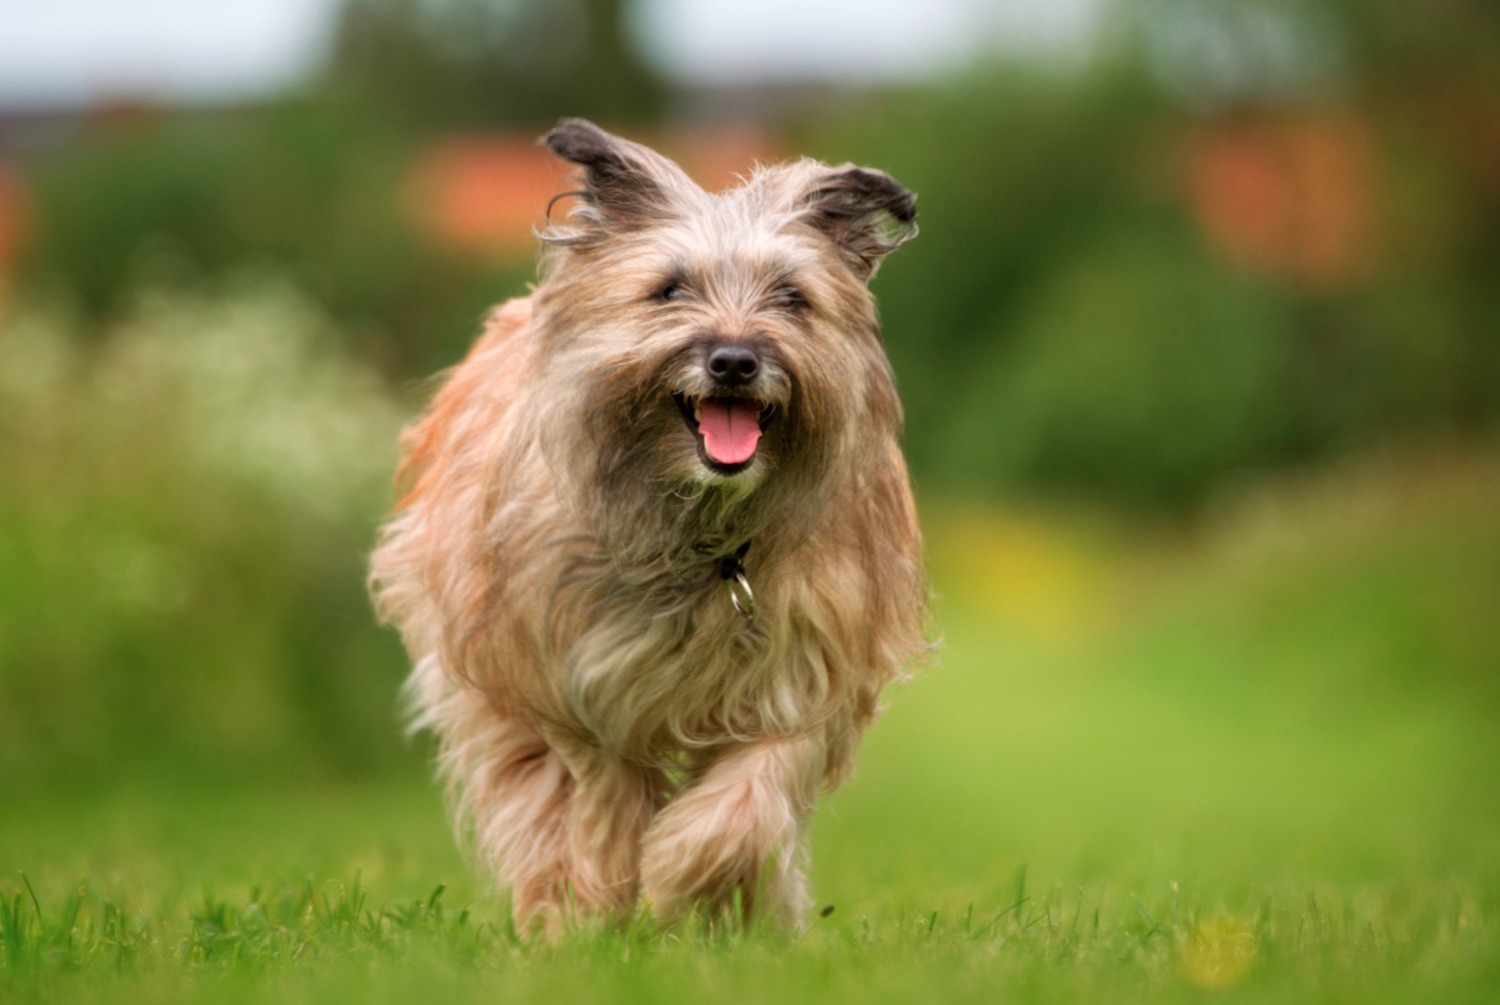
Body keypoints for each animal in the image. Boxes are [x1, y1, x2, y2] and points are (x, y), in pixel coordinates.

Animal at [369, 120, 924, 936]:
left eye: (792, 298)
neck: (703, 537)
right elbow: (600, 795)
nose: (734, 360)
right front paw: (603, 903)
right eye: (669, 289)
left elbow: (749, 800)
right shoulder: (571, 683)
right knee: (530, 798)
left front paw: (692, 881)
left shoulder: (805, 670)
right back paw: (555, 908)